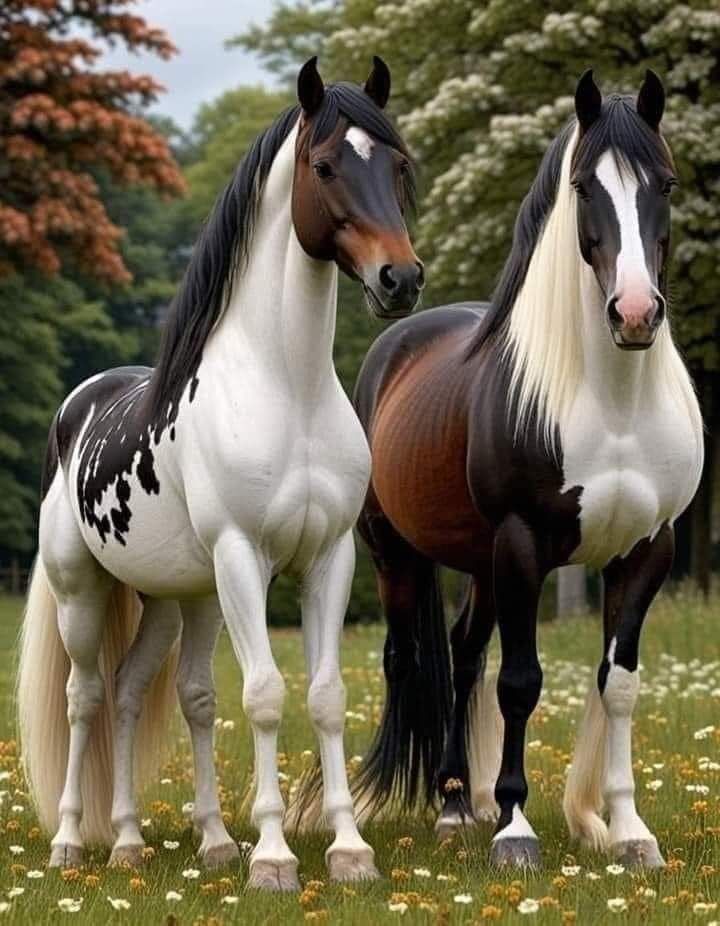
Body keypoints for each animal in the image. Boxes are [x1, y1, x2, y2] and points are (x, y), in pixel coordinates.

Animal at [17, 56, 423, 891]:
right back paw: (72, 840)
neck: (288, 386)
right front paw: (271, 858)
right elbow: (266, 695)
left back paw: (152, 840)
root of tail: (77, 408)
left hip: (179, 600)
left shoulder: (329, 558)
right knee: (85, 698)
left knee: (148, 693)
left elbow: (324, 696)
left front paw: (348, 850)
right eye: (325, 166)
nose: (400, 277)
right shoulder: (243, 557)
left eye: (397, 165)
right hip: (84, 593)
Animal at [352, 70, 703, 869]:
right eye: (583, 187)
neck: (611, 400)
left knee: (463, 656)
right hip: (398, 554)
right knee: (408, 659)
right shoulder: (522, 544)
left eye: (666, 183)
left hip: (480, 565)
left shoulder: (649, 549)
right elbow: (520, 682)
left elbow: (619, 686)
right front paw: (516, 829)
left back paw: (458, 804)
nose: (634, 313)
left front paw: (628, 830)